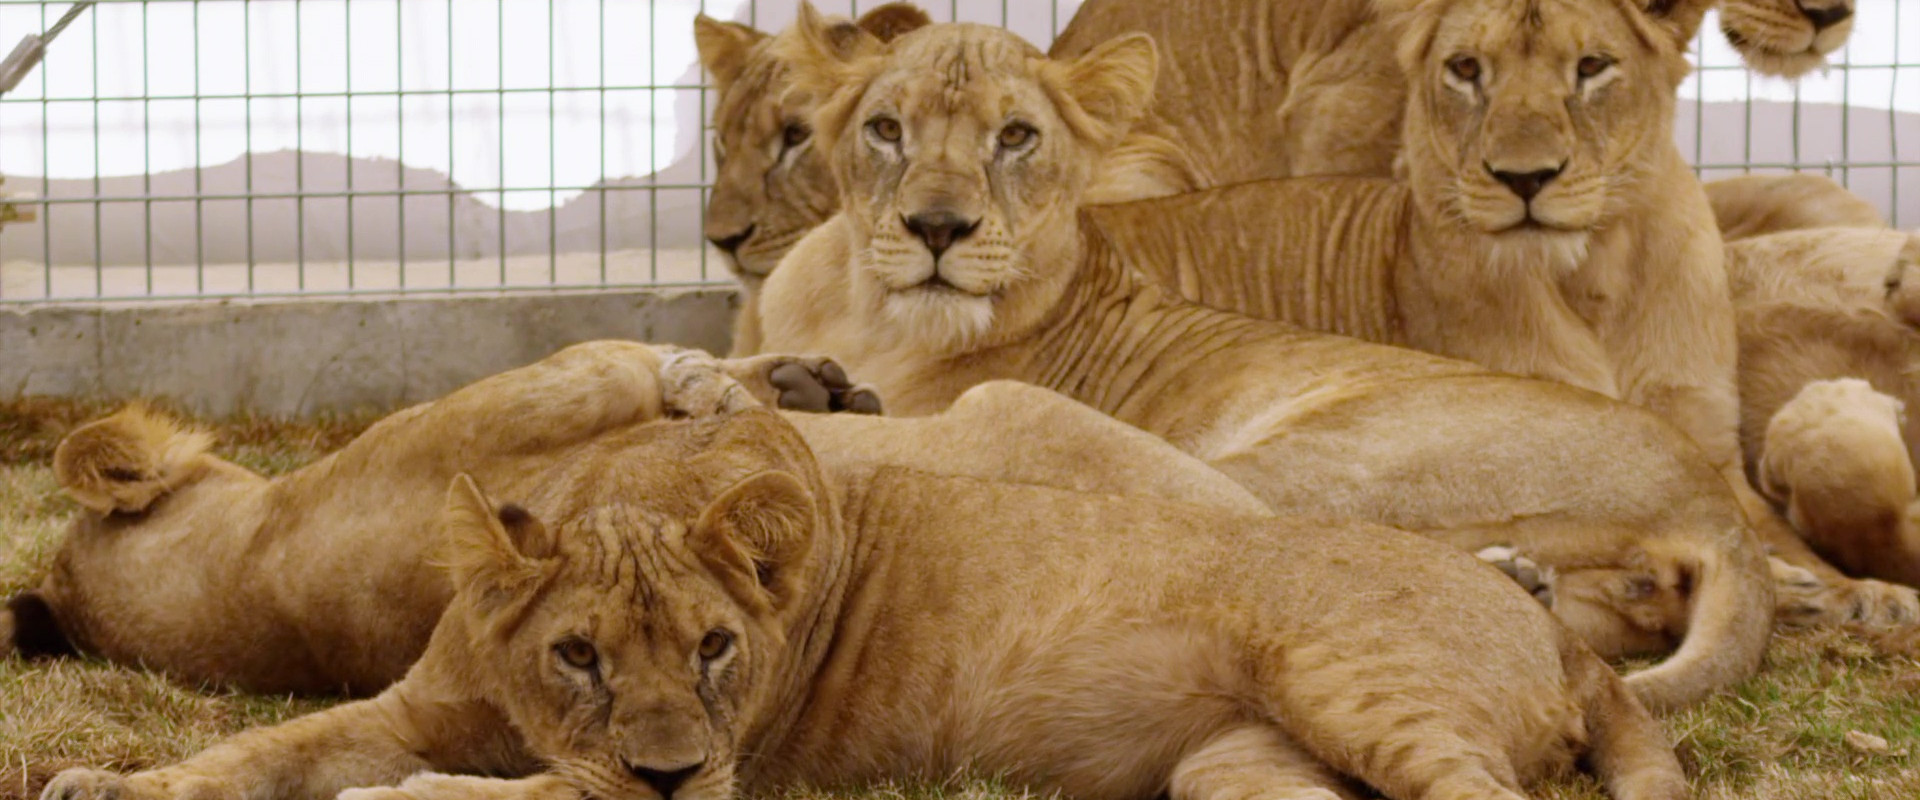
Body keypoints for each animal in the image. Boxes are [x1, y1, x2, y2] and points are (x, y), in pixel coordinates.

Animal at [5, 342, 1272, 695]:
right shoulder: (539, 389)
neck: (251, 576)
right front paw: (738, 384)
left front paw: (811, 382)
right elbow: (643, 367)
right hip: (1024, 403)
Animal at [746, 6, 1808, 713]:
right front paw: (801, 380)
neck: (867, 308)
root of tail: (1710, 498)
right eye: (886, 129)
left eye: (1016, 137)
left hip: (1308, 461)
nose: (936, 228)